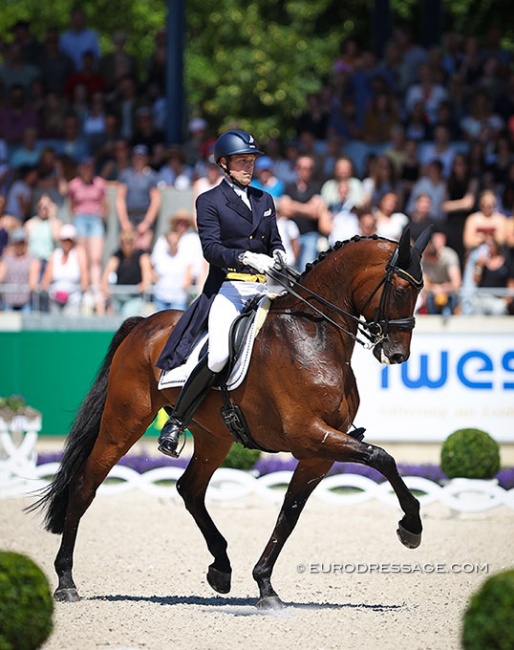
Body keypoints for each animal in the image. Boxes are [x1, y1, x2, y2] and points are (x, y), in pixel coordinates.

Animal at [30, 228, 430, 608]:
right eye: (400, 289)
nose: (397, 355)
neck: (314, 335)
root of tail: (144, 323)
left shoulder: (317, 452)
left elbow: (290, 513)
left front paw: (265, 584)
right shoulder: (310, 434)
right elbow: (382, 457)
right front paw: (411, 527)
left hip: (214, 437)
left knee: (189, 489)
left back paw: (221, 569)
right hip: (123, 422)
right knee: (86, 485)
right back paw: (66, 581)